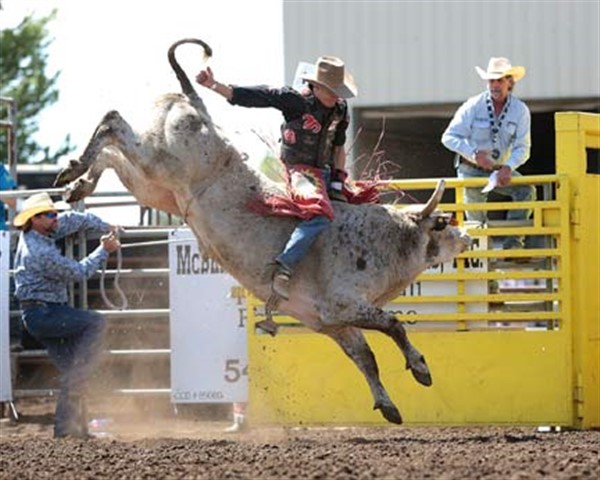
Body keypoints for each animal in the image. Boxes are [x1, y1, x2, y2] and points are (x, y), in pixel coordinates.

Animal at [54, 39, 472, 426]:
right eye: (442, 223)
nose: (468, 236)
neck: (387, 239)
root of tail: (199, 108)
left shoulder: (331, 322)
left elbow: (365, 358)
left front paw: (388, 406)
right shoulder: (343, 303)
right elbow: (394, 325)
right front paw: (421, 369)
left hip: (152, 184)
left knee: (113, 154)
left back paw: (76, 181)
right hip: (159, 159)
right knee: (113, 123)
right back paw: (75, 170)